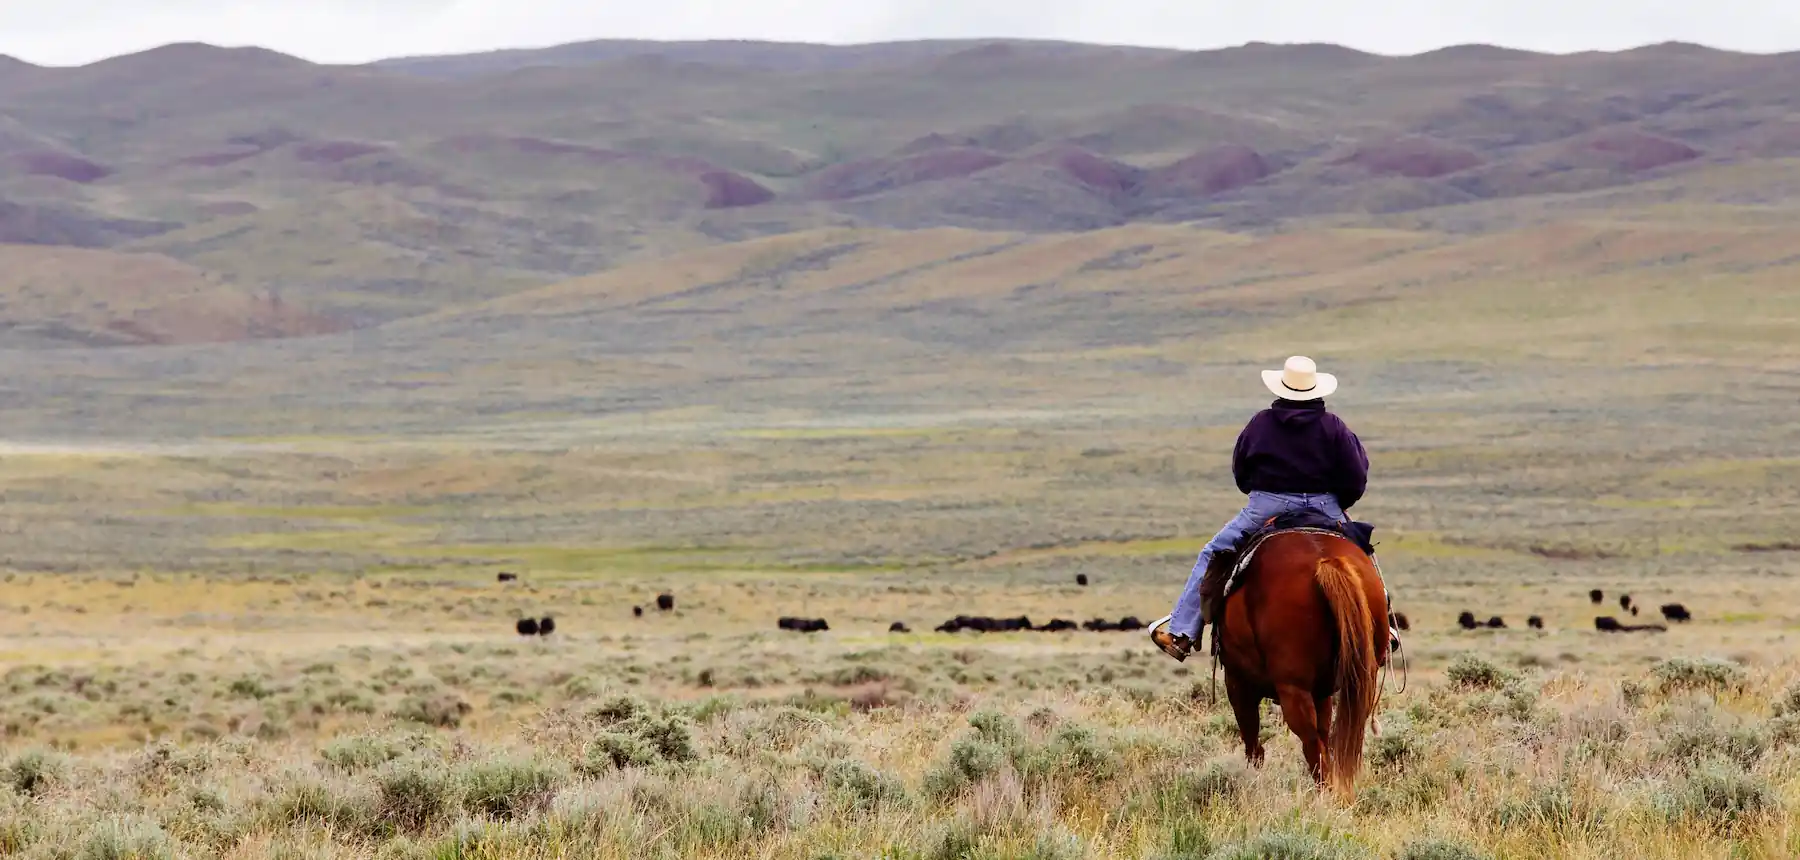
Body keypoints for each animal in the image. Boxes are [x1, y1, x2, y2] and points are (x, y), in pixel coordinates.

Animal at [1207, 528, 1388, 796]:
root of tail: (1326, 562)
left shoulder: (1237, 680)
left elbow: (1251, 735)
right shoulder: (1322, 692)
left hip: (1292, 688)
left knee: (1310, 743)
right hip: (1363, 679)